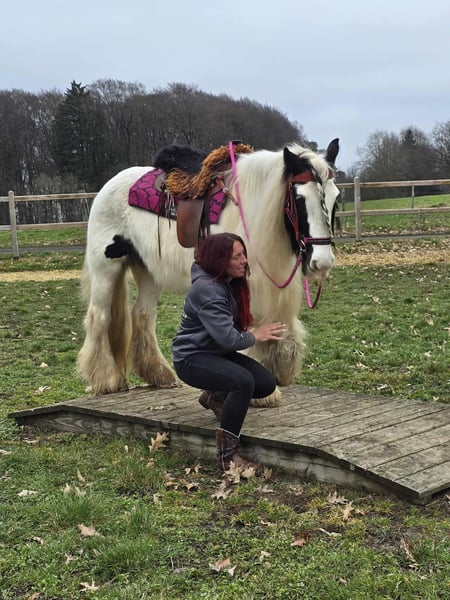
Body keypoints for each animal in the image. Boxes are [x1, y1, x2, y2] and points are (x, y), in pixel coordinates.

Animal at [77, 139, 340, 406]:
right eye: (299, 199)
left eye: (335, 199)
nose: (322, 261)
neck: (252, 208)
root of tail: (108, 186)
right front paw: (263, 392)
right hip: (106, 267)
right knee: (100, 316)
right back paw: (108, 379)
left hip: (150, 272)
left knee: (142, 314)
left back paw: (159, 374)